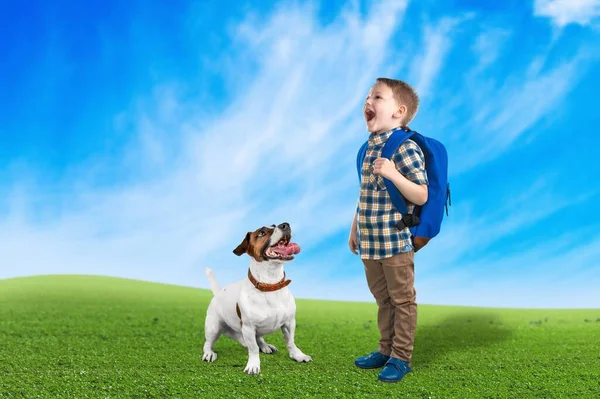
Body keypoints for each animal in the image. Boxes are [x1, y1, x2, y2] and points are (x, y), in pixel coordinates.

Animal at [203, 222, 314, 376]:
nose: (285, 225)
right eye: (262, 232)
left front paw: (298, 355)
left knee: (259, 338)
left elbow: (291, 342)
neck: (270, 284)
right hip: (213, 327)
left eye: (275, 225)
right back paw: (208, 353)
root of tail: (218, 292)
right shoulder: (248, 328)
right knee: (208, 343)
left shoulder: (289, 323)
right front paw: (253, 365)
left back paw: (265, 346)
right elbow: (253, 349)